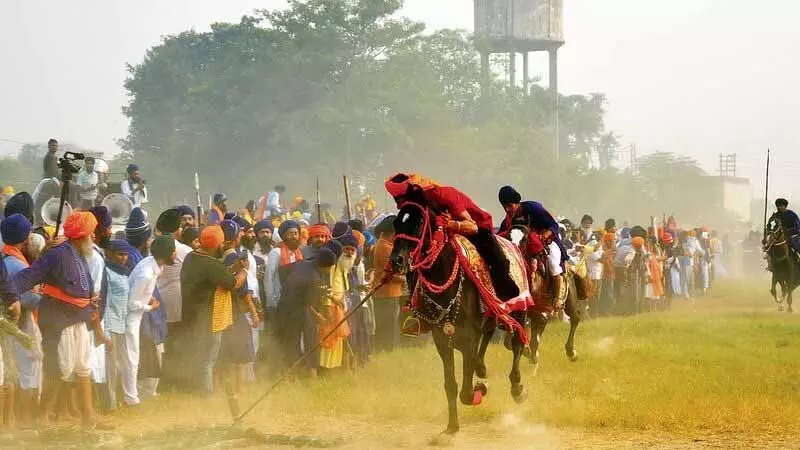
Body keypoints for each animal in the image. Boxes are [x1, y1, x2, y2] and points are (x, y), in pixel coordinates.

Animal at [390, 200, 528, 432]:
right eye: (396, 223)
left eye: (418, 223)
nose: (396, 260)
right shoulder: (442, 340)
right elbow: (451, 384)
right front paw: (452, 426)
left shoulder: (468, 339)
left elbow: (466, 390)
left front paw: (480, 389)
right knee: (489, 333)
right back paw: (482, 369)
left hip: (518, 310)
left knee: (517, 344)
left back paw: (517, 388)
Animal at [506, 225, 580, 372]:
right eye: (508, 237)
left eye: (525, 239)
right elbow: (510, 341)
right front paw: (529, 353)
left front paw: (531, 353)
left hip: (568, 301)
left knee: (575, 318)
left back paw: (571, 352)